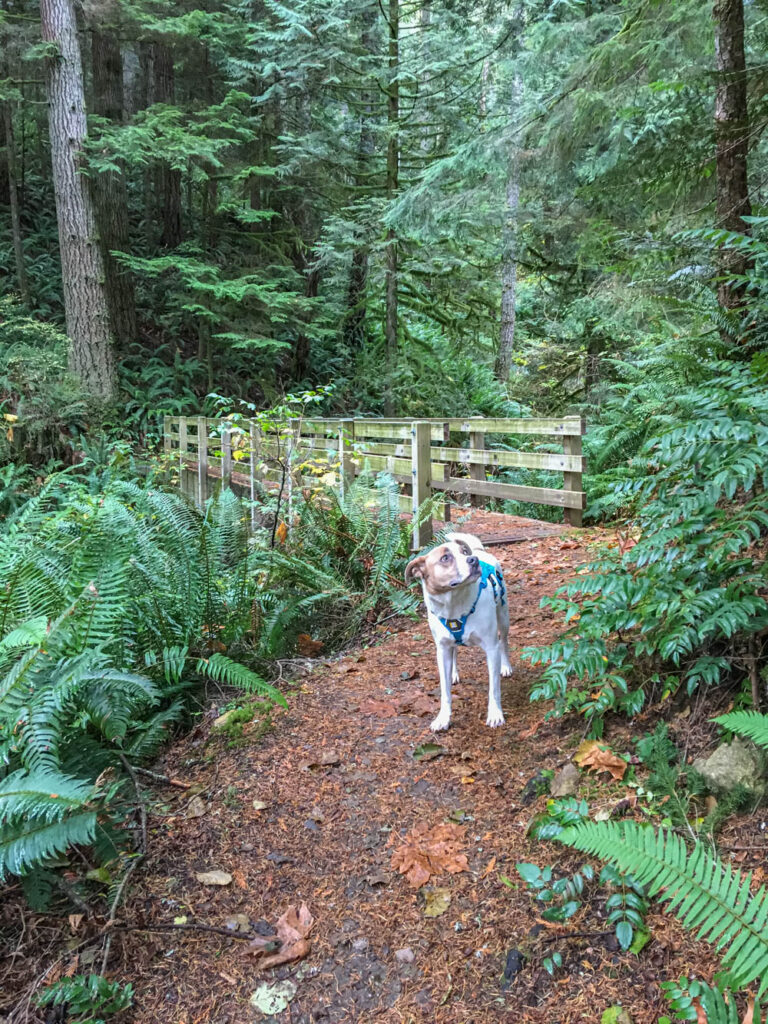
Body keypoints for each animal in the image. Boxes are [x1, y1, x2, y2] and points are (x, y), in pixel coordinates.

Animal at [405, 532, 514, 733]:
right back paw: (454, 673)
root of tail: (479, 551)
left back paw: (506, 666)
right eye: (445, 558)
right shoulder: (442, 650)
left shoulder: (491, 648)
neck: (455, 604)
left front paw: (495, 713)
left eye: (463, 552)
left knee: (503, 641)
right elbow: (445, 690)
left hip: (503, 616)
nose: (473, 559)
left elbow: (494, 688)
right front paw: (443, 718)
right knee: (455, 650)